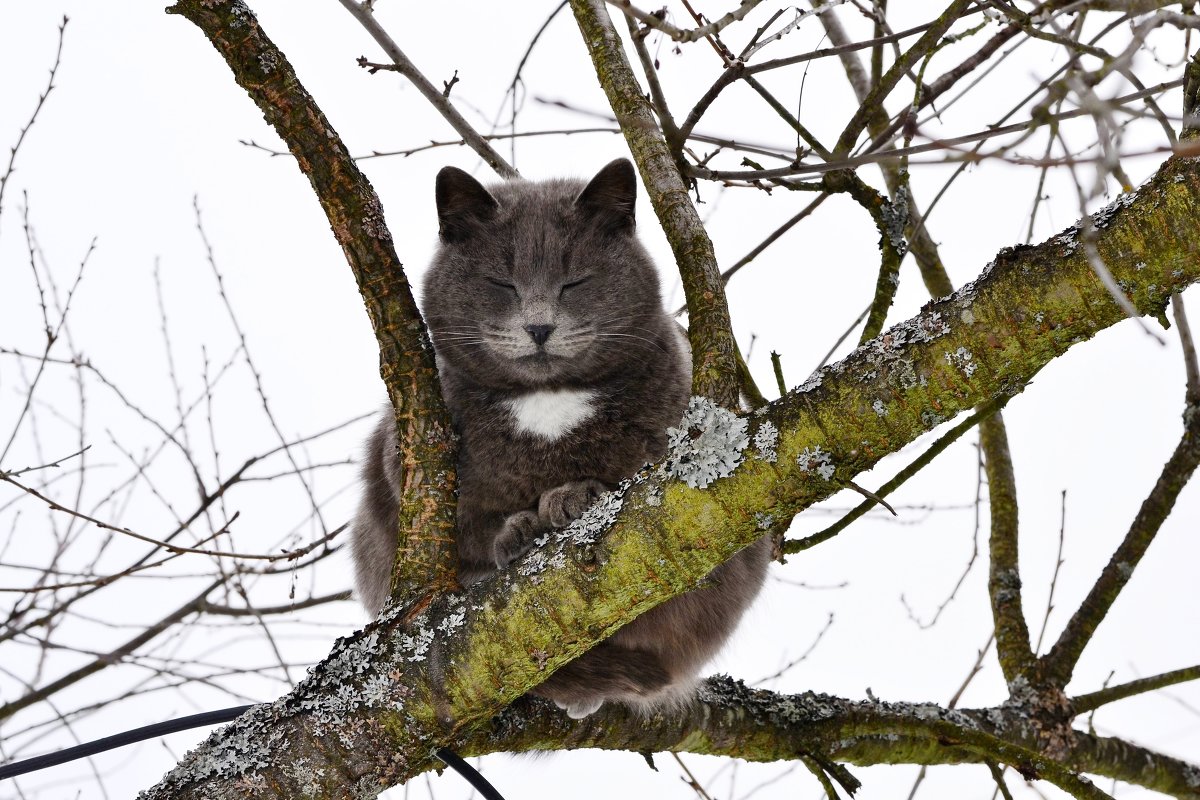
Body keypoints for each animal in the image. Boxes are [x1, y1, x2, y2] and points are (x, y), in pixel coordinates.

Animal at [350, 160, 772, 719]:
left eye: (575, 282)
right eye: (501, 282)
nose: (539, 327)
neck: (547, 400)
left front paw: (572, 497)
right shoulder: (409, 469)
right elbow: (471, 528)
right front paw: (522, 527)